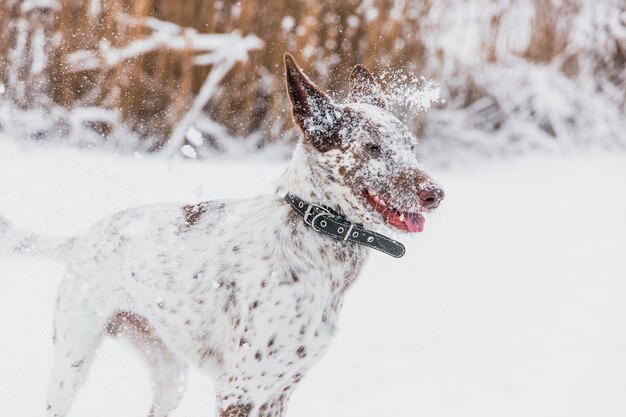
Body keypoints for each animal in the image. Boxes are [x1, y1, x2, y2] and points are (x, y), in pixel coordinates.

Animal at [0, 53, 442, 414]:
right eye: (371, 147)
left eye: (410, 146)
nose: (436, 193)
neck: (314, 232)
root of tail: (84, 237)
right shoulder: (239, 390)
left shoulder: (278, 392)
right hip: (73, 359)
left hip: (170, 375)